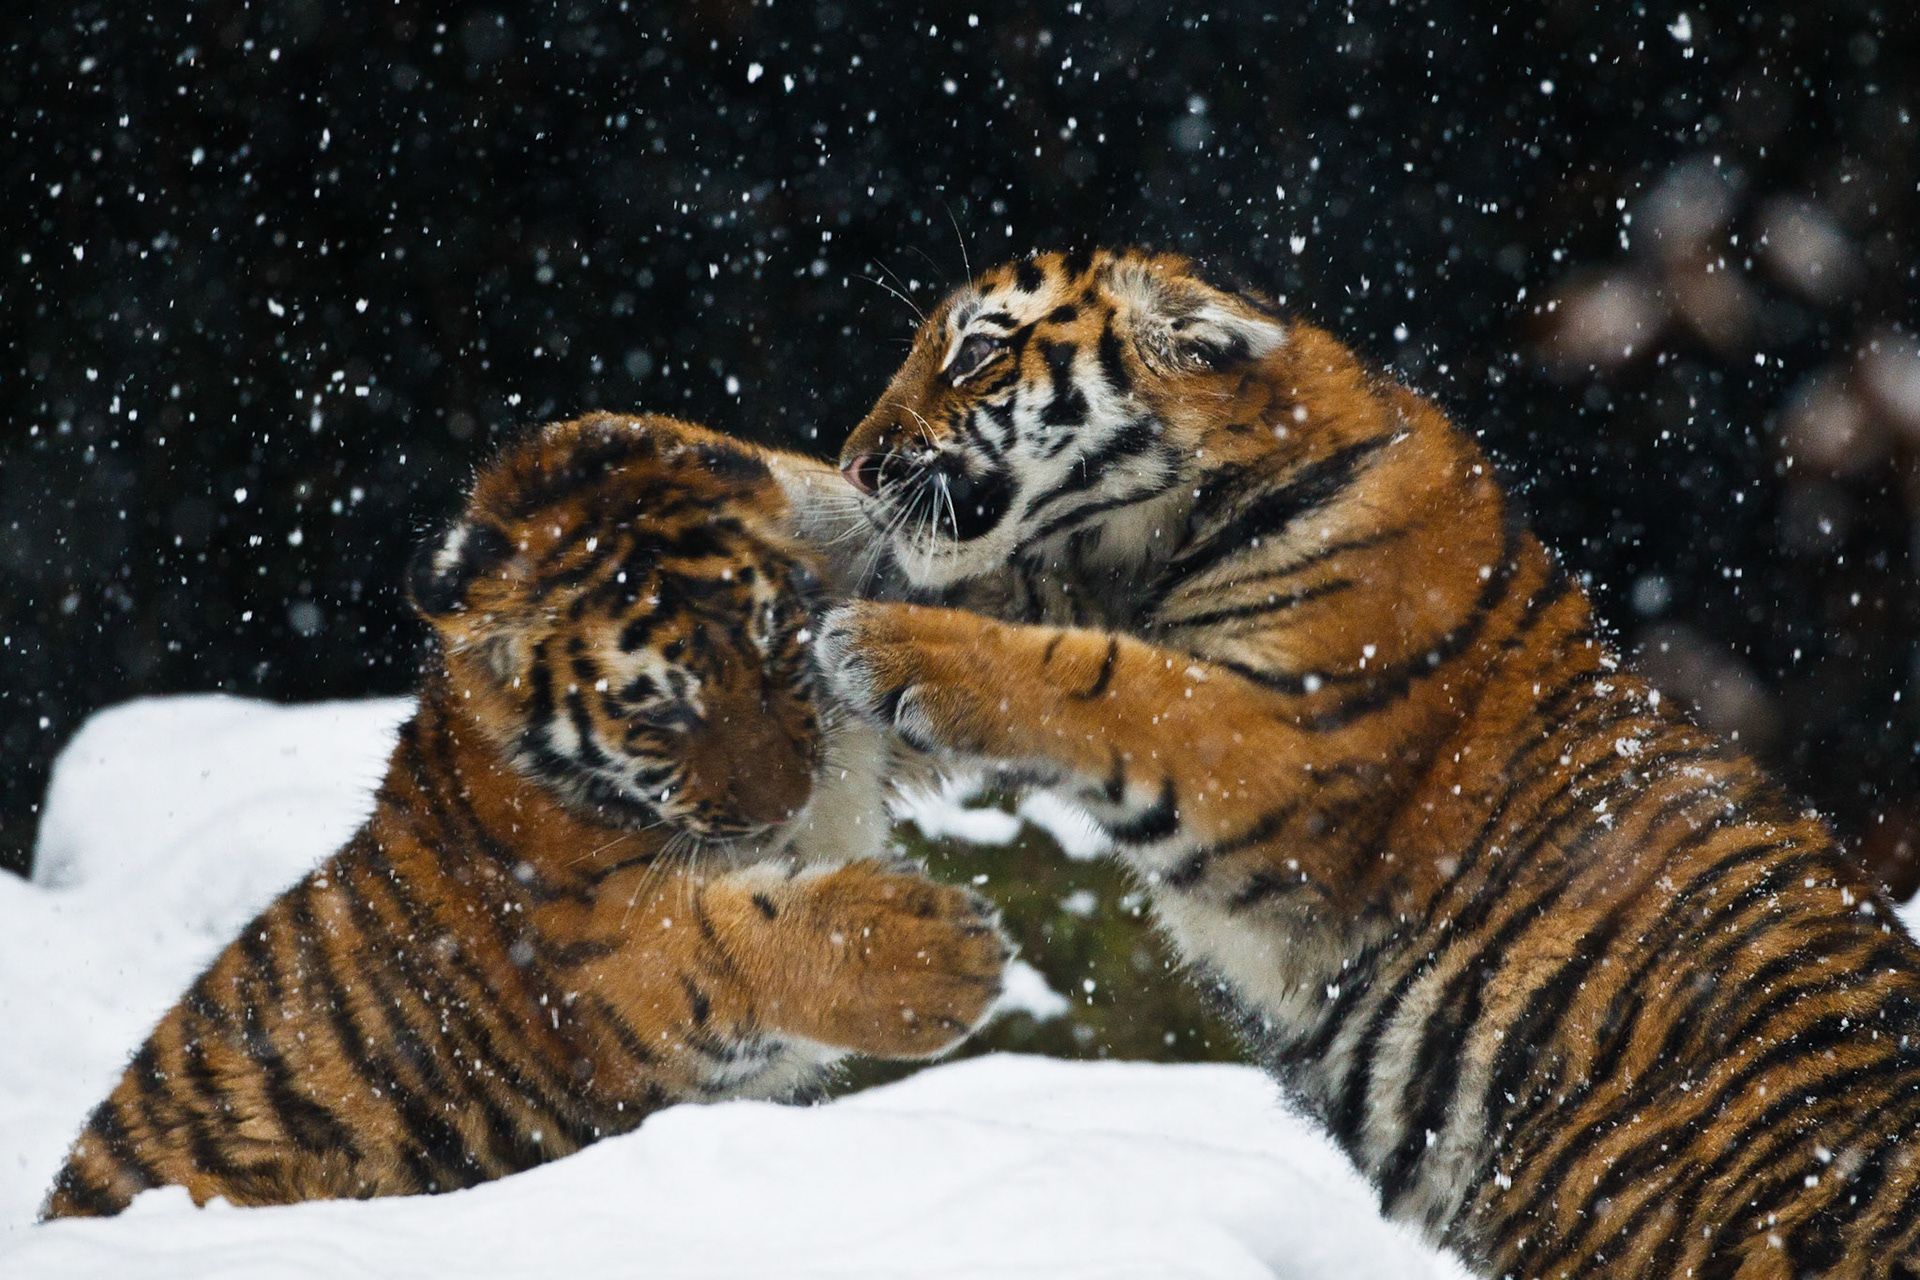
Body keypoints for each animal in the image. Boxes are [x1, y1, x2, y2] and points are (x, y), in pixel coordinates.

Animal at [43, 411, 1012, 1219]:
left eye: (777, 643)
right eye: (662, 713)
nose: (785, 803)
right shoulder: (607, 963)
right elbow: (729, 940)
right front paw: (942, 956)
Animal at [814, 247, 1920, 1279]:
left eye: (975, 351)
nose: (856, 462)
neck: (1144, 548)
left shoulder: (1281, 742)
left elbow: (1096, 678)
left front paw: (877, 641)